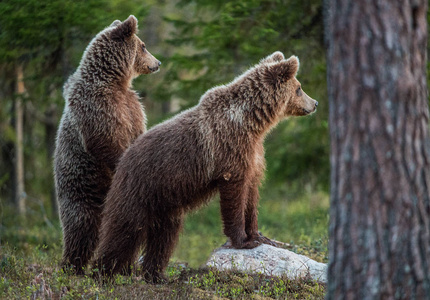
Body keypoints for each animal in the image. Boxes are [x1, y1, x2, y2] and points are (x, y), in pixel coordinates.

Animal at [53, 15, 161, 274]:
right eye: (143, 46)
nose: (158, 62)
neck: (114, 81)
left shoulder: (133, 108)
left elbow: (137, 132)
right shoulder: (98, 106)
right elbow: (105, 140)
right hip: (81, 191)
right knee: (81, 230)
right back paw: (72, 267)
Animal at [92, 50, 318, 282]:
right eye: (299, 88)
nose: (315, 103)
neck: (251, 124)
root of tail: (124, 158)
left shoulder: (253, 156)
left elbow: (252, 196)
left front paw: (260, 236)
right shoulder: (229, 153)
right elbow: (235, 197)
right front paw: (243, 240)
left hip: (165, 202)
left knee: (164, 237)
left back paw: (156, 275)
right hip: (140, 188)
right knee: (125, 230)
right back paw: (104, 272)